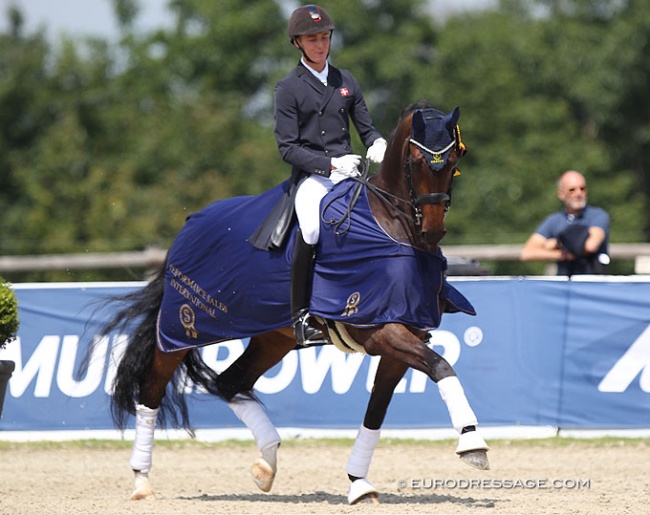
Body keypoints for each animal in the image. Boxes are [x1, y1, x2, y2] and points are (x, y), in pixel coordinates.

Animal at [97, 103, 486, 506]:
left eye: (454, 160)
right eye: (416, 161)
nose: (433, 230)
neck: (390, 230)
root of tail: (189, 225)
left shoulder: (406, 335)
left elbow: (378, 410)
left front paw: (358, 483)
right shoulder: (381, 332)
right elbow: (441, 366)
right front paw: (472, 443)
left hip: (274, 337)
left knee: (229, 382)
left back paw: (266, 464)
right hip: (182, 328)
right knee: (153, 389)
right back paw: (142, 480)